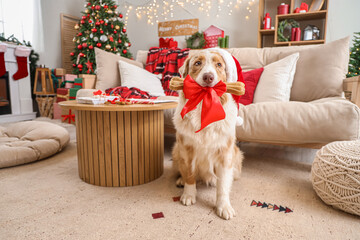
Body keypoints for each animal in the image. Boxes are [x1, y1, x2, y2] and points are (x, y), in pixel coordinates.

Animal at [172, 49, 245, 220]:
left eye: (218, 64)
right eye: (197, 63)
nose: (208, 77)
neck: (204, 105)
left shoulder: (225, 154)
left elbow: (223, 186)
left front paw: (223, 206)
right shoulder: (186, 149)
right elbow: (189, 175)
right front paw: (188, 194)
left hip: (236, 155)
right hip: (176, 150)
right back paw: (180, 180)